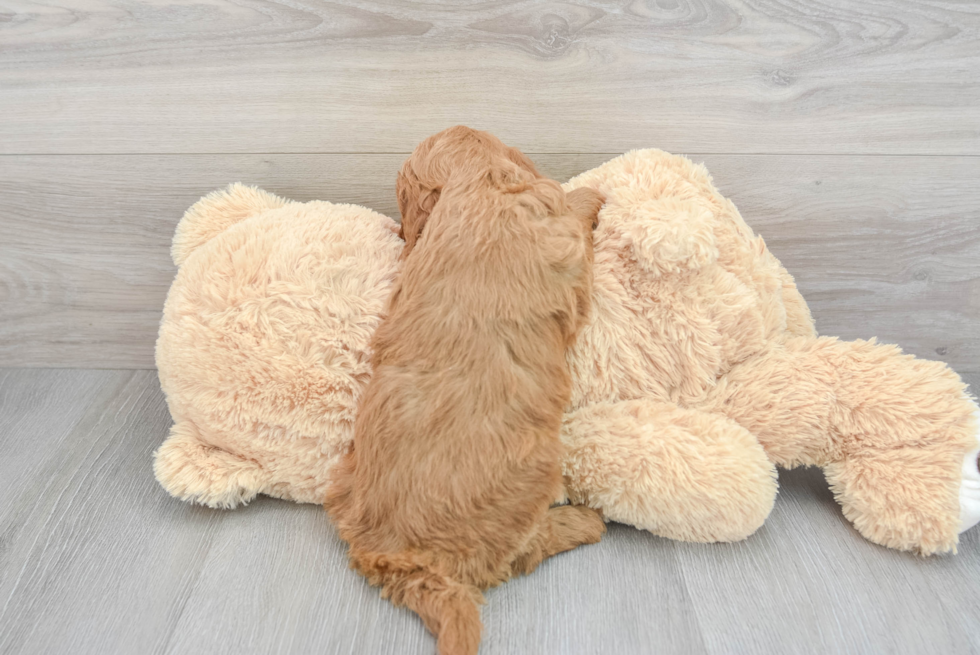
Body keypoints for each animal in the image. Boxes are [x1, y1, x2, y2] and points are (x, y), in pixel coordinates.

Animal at [328, 127, 604, 655]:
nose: (400, 234)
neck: (475, 183)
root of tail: (392, 557)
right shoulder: (563, 238)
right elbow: (573, 208)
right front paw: (593, 196)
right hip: (533, 477)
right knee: (522, 554)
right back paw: (583, 521)